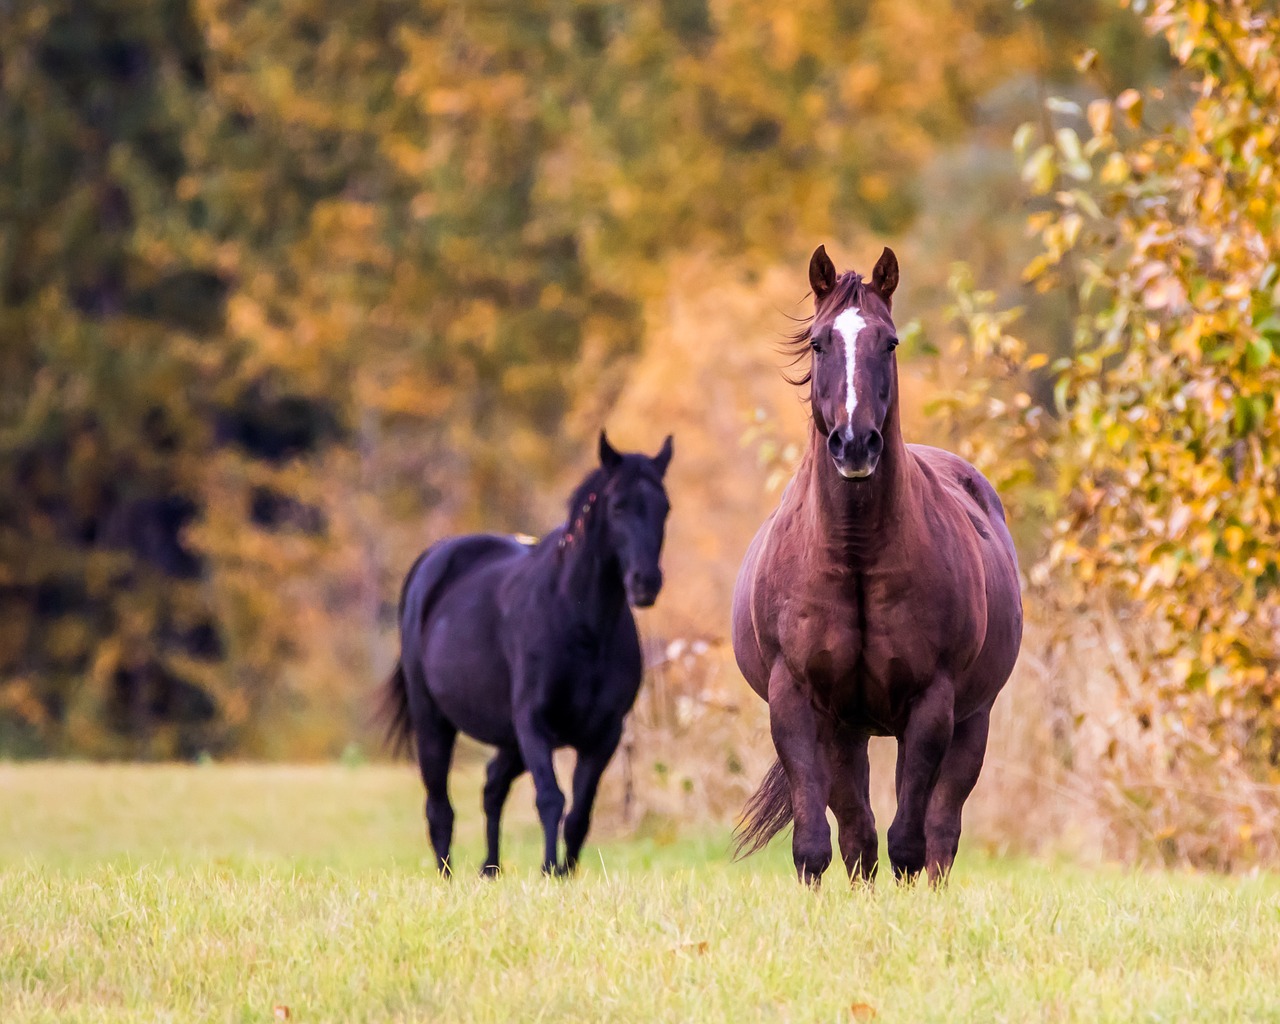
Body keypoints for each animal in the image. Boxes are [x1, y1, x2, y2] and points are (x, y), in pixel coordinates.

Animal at [378, 427, 675, 875]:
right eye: (619, 505)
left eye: (664, 508)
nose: (646, 583)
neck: (580, 624)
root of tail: (432, 560)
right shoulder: (534, 724)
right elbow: (551, 799)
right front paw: (549, 870)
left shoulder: (603, 734)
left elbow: (579, 813)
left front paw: (565, 873)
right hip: (434, 723)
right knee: (439, 808)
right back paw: (447, 876)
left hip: (508, 739)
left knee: (492, 787)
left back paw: (490, 869)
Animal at [732, 248, 1018, 885]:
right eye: (819, 343)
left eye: (888, 342)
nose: (855, 444)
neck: (856, 558)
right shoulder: (801, 703)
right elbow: (818, 844)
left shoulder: (931, 705)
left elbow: (910, 843)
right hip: (848, 731)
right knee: (858, 835)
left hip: (971, 723)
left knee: (939, 832)